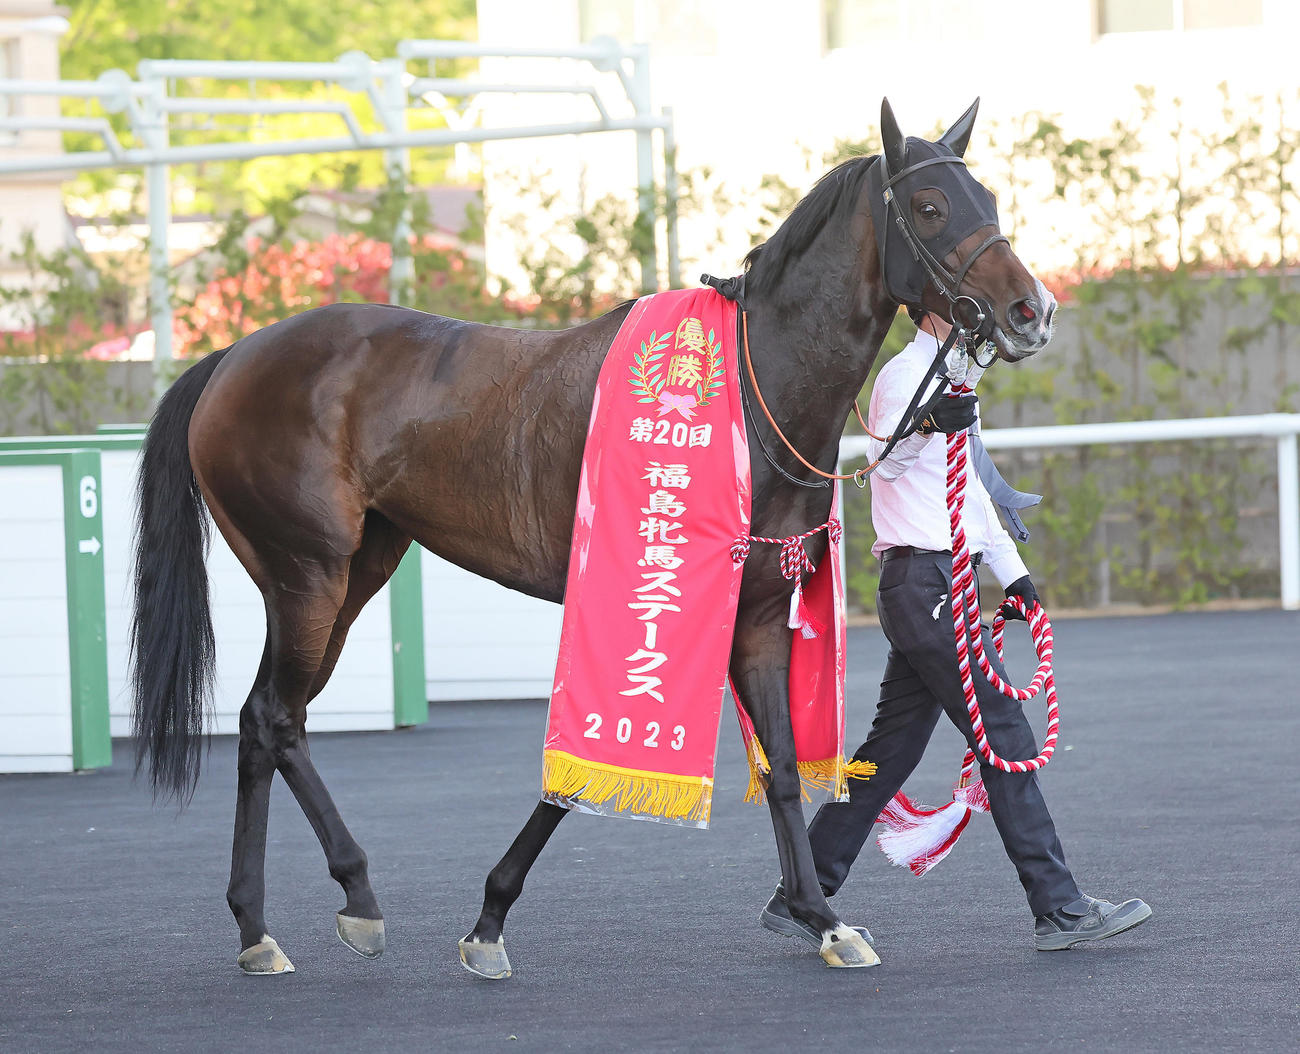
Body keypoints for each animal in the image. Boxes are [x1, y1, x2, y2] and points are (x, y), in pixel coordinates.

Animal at [130, 98, 1057, 978]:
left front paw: (822, 918)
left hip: (359, 569)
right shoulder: (645, 597)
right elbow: (584, 764)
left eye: (989, 198)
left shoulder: (755, 611)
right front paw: (490, 922)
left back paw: (255, 928)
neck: (751, 393)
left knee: (262, 719)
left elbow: (785, 766)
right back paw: (355, 895)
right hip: (307, 574)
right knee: (276, 718)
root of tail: (234, 357)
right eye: (931, 207)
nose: (1032, 310)